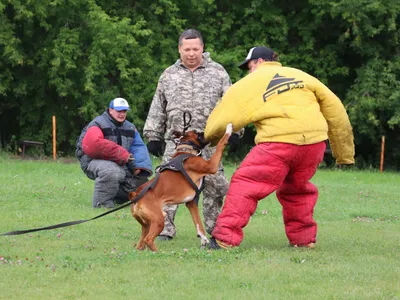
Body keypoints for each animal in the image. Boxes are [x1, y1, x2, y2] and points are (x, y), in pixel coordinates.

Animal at [128, 123, 233, 252]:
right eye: (197, 132)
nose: (204, 131)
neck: (186, 151)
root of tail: (136, 194)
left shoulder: (191, 203)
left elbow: (198, 224)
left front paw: (203, 240)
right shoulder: (211, 165)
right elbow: (221, 144)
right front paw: (229, 129)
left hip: (147, 224)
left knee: (141, 243)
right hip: (159, 220)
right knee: (148, 239)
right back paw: (159, 252)